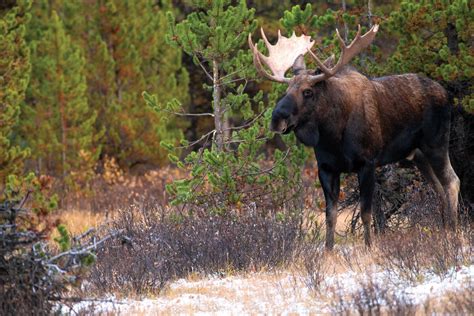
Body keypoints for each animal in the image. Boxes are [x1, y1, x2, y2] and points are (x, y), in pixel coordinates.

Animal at [248, 24, 460, 249]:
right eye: (287, 89)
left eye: (307, 91)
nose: (276, 118)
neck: (332, 136)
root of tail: (446, 93)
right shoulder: (326, 168)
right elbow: (330, 216)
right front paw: (328, 250)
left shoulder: (367, 163)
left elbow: (367, 214)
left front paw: (369, 247)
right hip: (418, 155)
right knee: (438, 188)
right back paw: (444, 230)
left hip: (436, 144)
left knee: (452, 182)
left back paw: (453, 233)